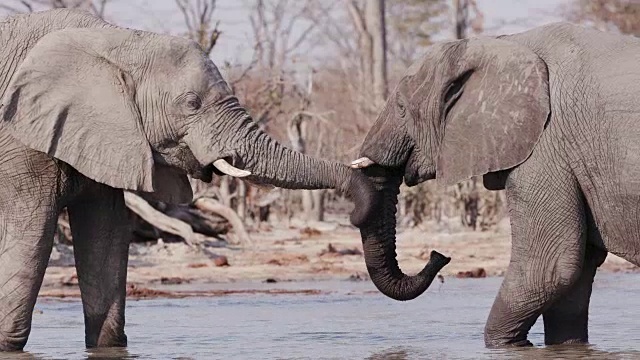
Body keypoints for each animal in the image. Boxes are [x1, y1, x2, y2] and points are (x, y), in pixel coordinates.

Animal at [0, 9, 376, 352]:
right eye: (191, 103)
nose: (356, 215)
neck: (113, 38)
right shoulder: (20, 140)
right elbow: (32, 234)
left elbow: (106, 235)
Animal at [350, 21, 640, 348]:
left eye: (400, 106)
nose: (440, 255)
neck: (500, 45)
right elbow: (573, 279)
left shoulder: (545, 146)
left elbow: (548, 267)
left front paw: (508, 347)